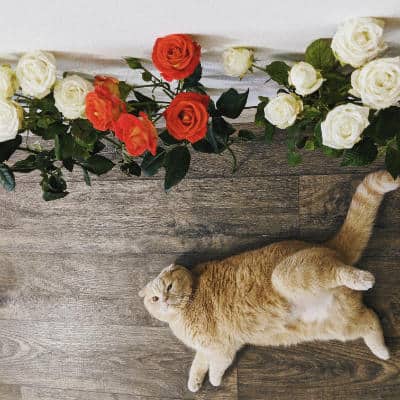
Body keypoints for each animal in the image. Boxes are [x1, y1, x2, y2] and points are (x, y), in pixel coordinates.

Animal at [140, 170, 396, 392]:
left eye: (169, 287)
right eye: (154, 298)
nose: (164, 299)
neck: (185, 309)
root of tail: (327, 247)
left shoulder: (222, 348)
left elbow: (216, 365)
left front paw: (213, 380)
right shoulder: (211, 347)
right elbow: (199, 362)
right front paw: (194, 383)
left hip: (287, 274)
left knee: (339, 272)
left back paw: (363, 279)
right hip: (340, 325)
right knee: (371, 319)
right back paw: (383, 351)